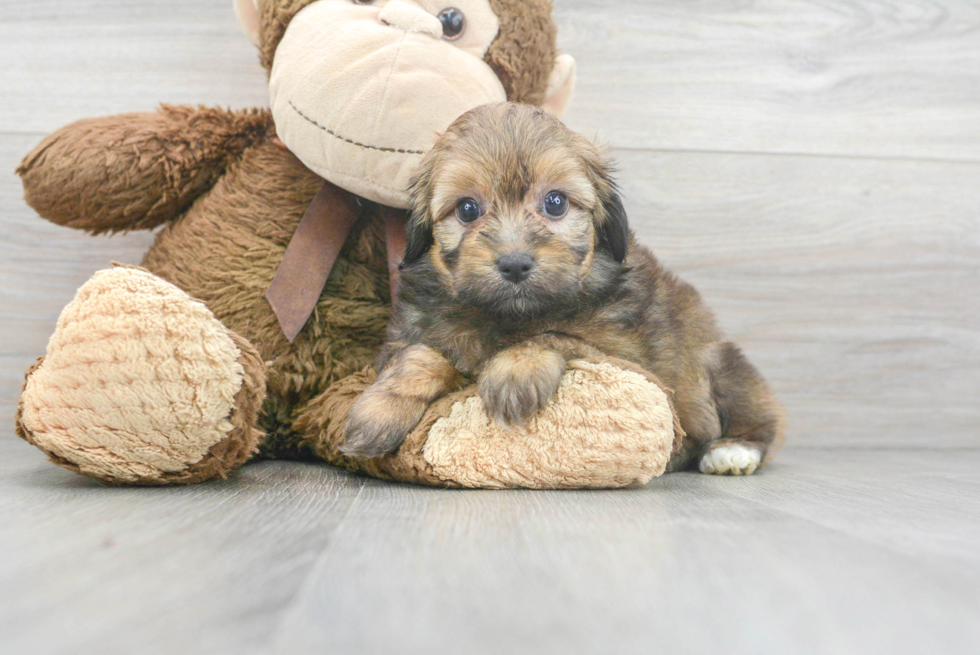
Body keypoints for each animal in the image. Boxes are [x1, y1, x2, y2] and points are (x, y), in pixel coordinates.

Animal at [340, 102, 784, 476]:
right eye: (467, 209)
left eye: (555, 203)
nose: (515, 263)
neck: (506, 317)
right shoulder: (410, 333)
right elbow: (421, 355)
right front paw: (379, 409)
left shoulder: (622, 355)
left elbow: (556, 333)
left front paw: (516, 368)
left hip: (721, 365)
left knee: (760, 415)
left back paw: (733, 451)